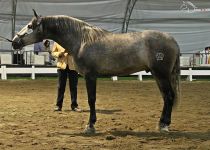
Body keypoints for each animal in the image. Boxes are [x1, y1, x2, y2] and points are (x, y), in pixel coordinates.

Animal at [12, 9, 180, 134]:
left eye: (30, 26)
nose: (14, 42)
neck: (82, 40)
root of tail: (172, 40)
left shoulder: (90, 76)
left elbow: (91, 99)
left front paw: (90, 126)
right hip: (158, 75)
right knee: (166, 97)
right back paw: (161, 124)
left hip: (161, 75)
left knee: (169, 96)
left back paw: (164, 125)